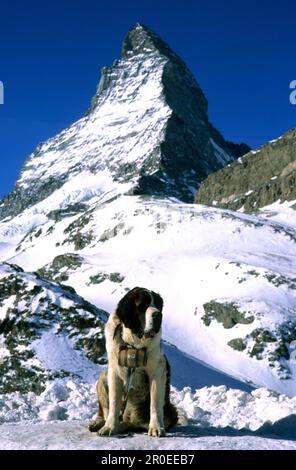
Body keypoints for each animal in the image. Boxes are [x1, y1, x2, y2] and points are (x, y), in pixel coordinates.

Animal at [88, 286, 180, 436]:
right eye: (142, 305)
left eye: (158, 305)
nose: (158, 315)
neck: (132, 342)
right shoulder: (113, 370)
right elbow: (114, 402)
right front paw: (109, 427)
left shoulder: (157, 370)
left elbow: (155, 402)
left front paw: (156, 428)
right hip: (103, 377)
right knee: (105, 411)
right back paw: (99, 423)